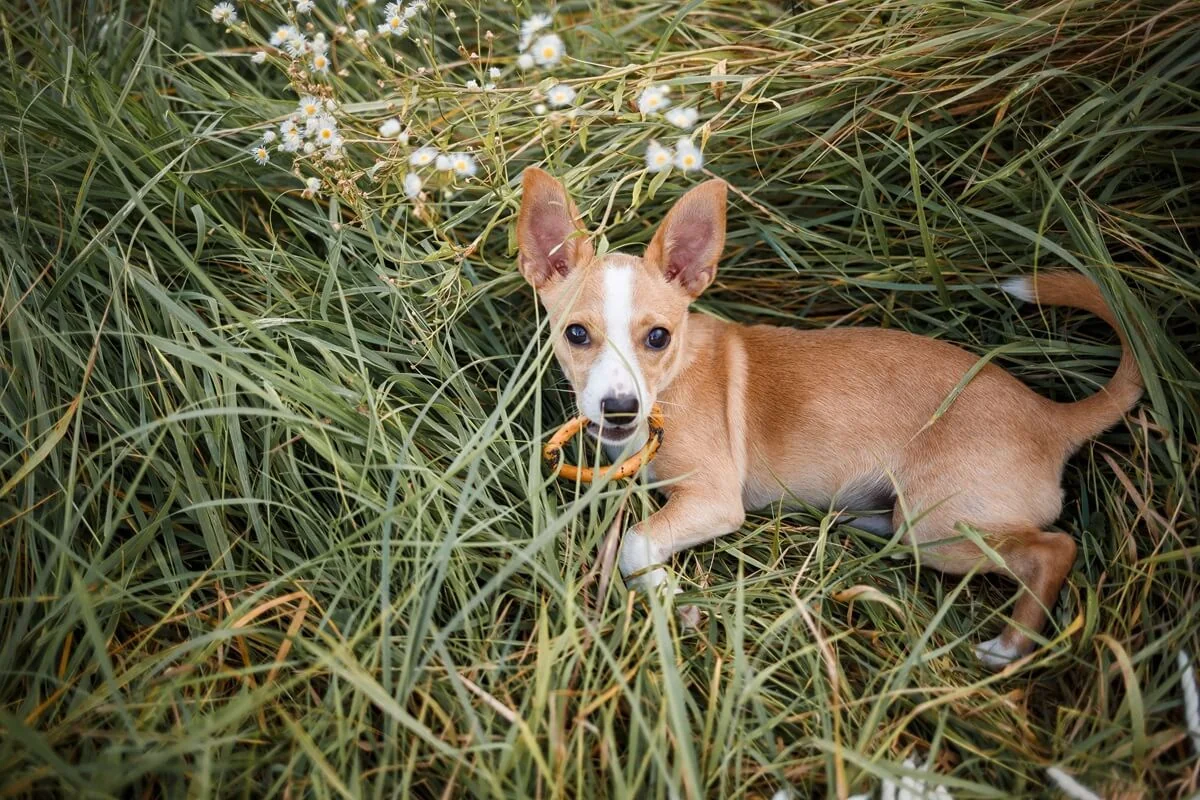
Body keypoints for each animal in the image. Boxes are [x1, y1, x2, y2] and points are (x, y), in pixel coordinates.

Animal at [518, 167, 1142, 662]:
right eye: (576, 334)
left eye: (657, 337)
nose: (620, 409)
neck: (671, 380)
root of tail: (1051, 416)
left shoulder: (713, 499)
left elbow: (635, 544)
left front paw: (675, 601)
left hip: (939, 528)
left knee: (1053, 550)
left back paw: (1010, 645)